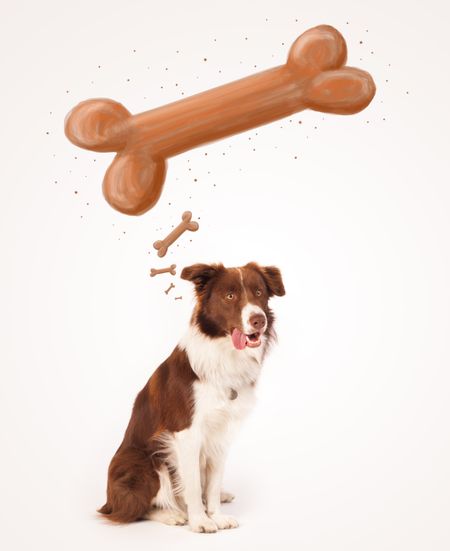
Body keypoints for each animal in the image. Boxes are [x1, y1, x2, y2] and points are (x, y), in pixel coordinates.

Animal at [99, 262, 284, 532]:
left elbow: (213, 483)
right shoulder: (186, 433)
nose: (258, 320)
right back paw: (172, 514)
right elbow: (194, 485)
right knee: (135, 508)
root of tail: (107, 500)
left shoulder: (221, 433)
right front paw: (200, 521)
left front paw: (216, 515)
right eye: (230, 296)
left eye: (259, 292)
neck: (225, 356)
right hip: (144, 462)